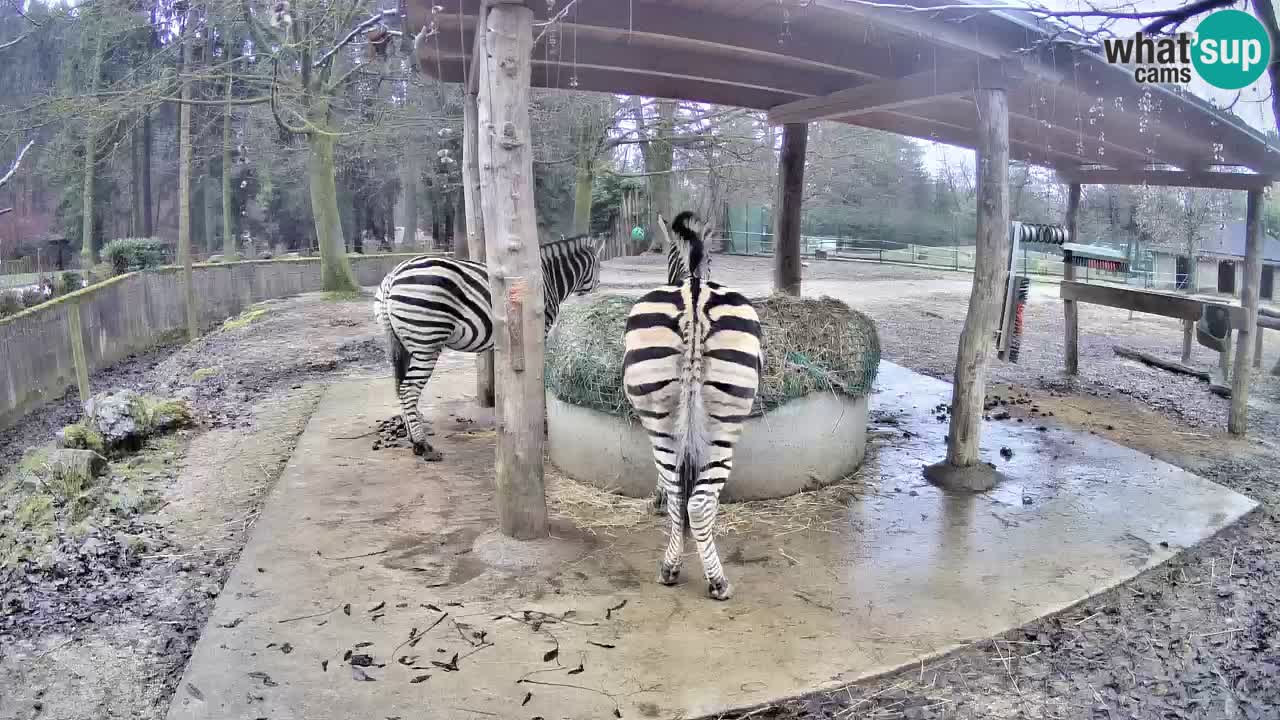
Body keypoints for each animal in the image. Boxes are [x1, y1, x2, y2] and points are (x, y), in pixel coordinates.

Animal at [373, 235, 604, 458]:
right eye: (599, 267)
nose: (597, 290)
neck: (548, 278)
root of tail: (393, 275)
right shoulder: (540, 331)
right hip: (426, 342)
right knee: (408, 388)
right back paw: (422, 445)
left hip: (402, 343)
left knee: (401, 387)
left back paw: (412, 438)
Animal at [619, 208, 757, 599]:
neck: (692, 273)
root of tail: (694, 296)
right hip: (724, 419)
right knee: (696, 500)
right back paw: (711, 579)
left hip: (659, 415)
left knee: (682, 496)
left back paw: (677, 570)